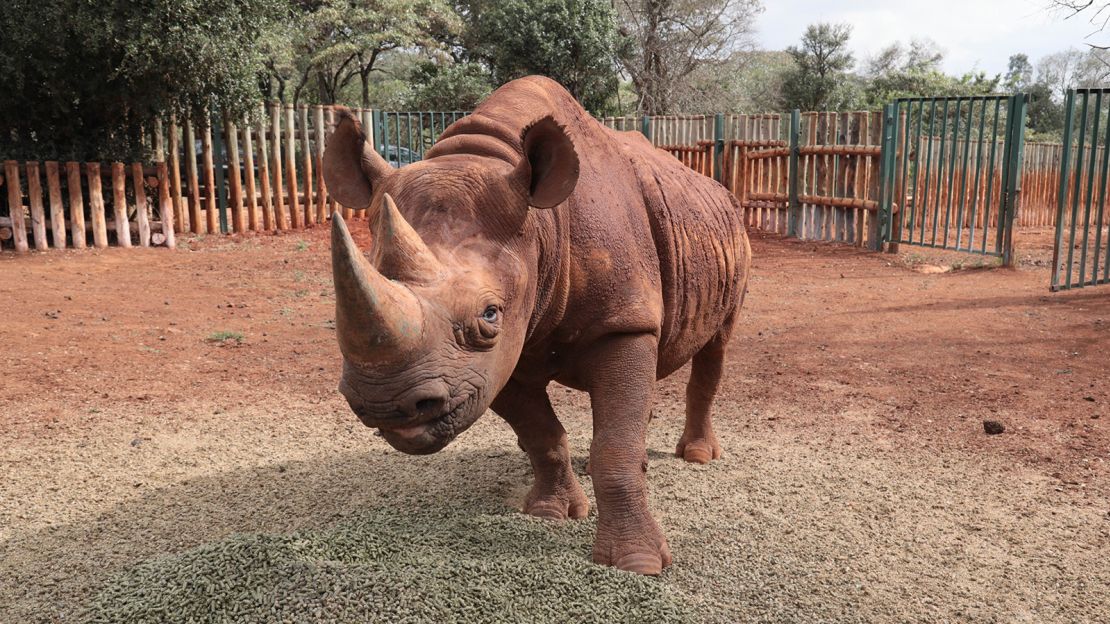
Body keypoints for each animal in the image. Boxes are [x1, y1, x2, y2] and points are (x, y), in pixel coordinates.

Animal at [324, 75, 750, 572]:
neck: (542, 223)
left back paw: (698, 456)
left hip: (733, 237)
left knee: (716, 346)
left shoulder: (622, 322)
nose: (384, 405)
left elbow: (615, 444)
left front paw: (636, 563)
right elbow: (541, 433)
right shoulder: (497, 360)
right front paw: (551, 513)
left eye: (489, 315)